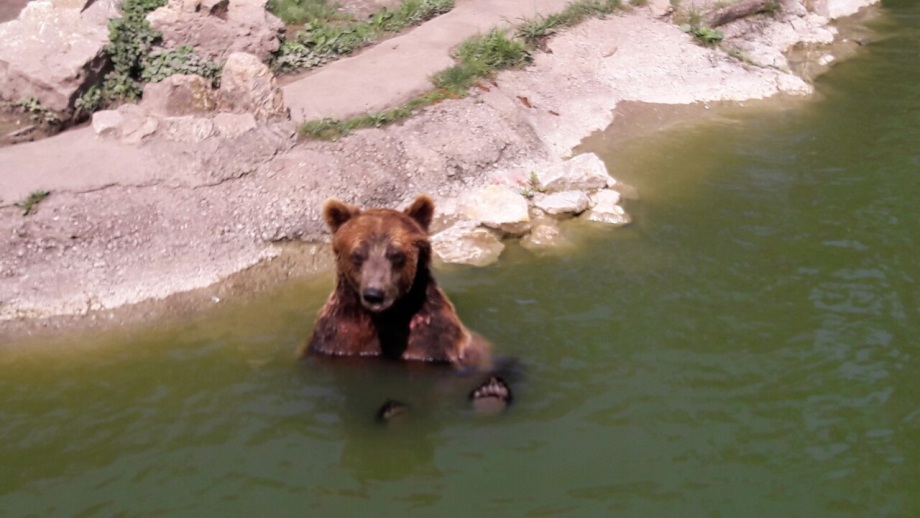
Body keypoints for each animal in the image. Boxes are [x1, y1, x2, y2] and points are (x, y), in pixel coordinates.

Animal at [302, 196, 492, 374]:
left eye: (396, 254)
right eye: (358, 255)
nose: (374, 294)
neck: (385, 317)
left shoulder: (434, 340)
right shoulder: (337, 336)